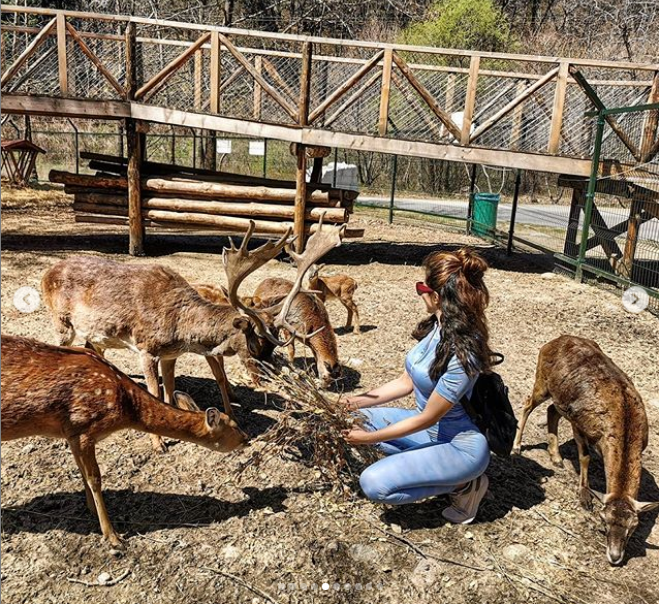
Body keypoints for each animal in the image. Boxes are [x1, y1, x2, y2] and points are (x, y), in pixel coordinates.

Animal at [0, 336, 248, 548]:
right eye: (233, 426)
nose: (246, 439)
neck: (125, 408)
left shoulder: (71, 433)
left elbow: (82, 471)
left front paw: (90, 509)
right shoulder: (84, 427)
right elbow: (95, 478)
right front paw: (113, 536)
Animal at [512, 336, 656, 568]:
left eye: (633, 526)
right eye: (603, 519)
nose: (615, 557)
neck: (624, 418)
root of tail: (553, 341)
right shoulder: (580, 425)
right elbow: (585, 457)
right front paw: (585, 497)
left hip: (559, 398)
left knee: (552, 410)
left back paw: (557, 458)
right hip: (542, 381)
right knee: (528, 404)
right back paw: (516, 447)